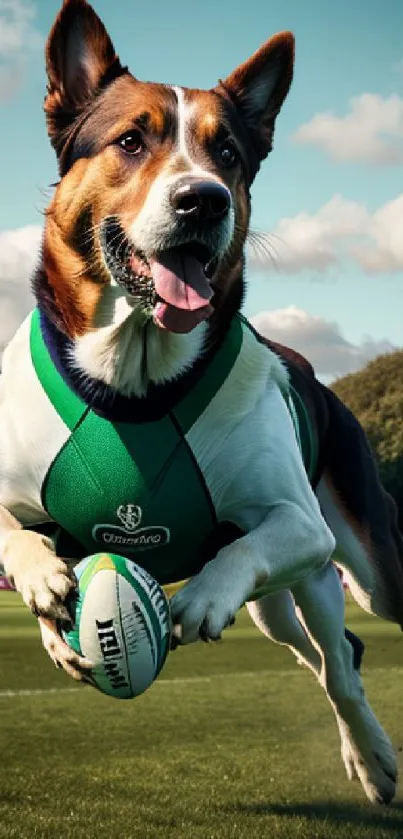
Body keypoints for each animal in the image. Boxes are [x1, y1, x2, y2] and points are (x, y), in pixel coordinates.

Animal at [0, 0, 403, 808]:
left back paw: (374, 758)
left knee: (345, 655)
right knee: (332, 654)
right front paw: (43, 587)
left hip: (354, 564)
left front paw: (197, 598)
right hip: (283, 602)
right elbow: (10, 529)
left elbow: (241, 551)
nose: (203, 199)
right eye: (130, 140)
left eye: (229, 156)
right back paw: (361, 752)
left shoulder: (294, 523)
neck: (132, 378)